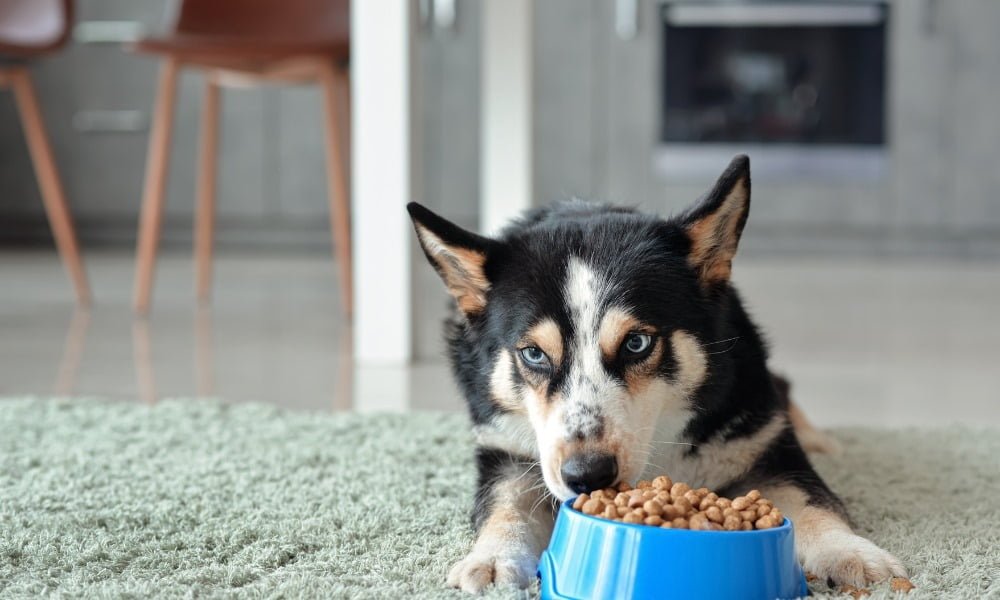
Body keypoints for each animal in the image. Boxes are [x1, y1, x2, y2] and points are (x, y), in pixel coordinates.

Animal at [406, 156, 908, 596]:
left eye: (636, 344)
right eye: (533, 354)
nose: (587, 475)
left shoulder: (764, 444)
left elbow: (812, 502)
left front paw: (850, 553)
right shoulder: (507, 450)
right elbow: (505, 505)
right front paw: (491, 560)